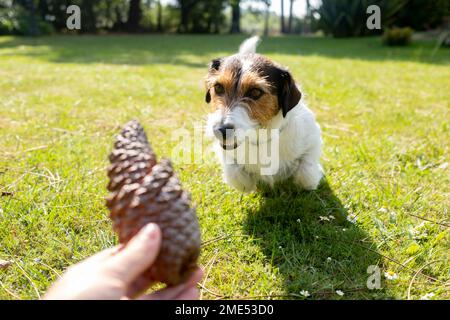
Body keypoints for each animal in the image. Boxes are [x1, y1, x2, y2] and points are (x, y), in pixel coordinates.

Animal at [204, 37, 324, 192]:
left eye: (255, 92)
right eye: (218, 87)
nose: (221, 130)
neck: (261, 136)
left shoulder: (313, 139)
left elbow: (307, 172)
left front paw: (314, 178)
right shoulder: (226, 153)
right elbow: (235, 174)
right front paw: (247, 184)